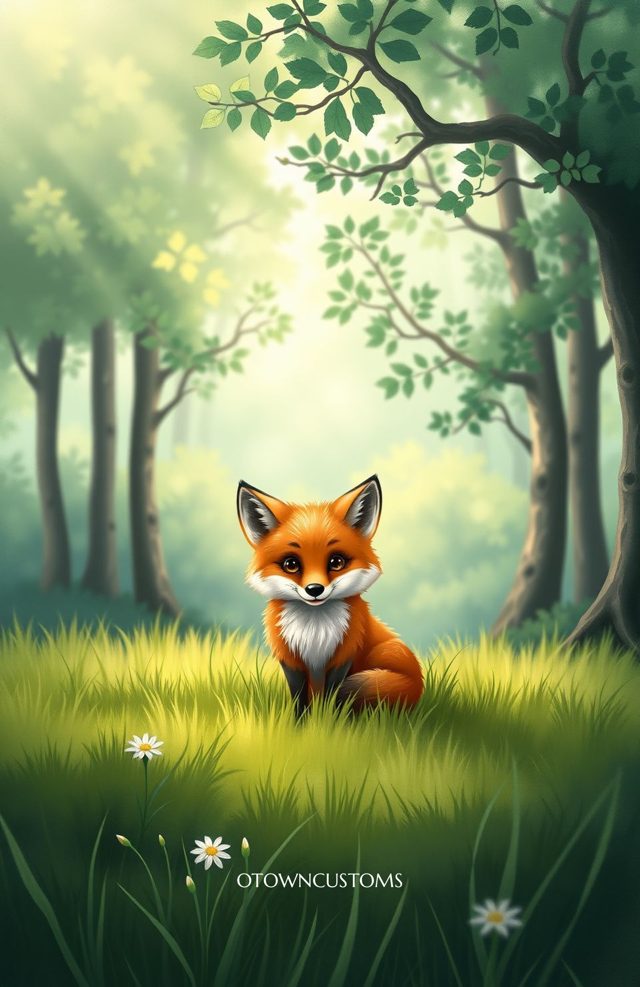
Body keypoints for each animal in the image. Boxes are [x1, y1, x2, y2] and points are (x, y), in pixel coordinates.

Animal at [237, 475, 424, 716]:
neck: (314, 631)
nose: (315, 589)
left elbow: (330, 697)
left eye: (336, 562)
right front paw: (300, 722)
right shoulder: (291, 659)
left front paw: (327, 720)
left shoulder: (343, 655)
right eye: (291, 564)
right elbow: (299, 699)